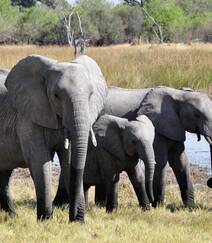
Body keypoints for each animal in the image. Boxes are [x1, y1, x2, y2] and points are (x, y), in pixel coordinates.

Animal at [1, 53, 107, 222]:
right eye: (56, 96)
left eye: (91, 95)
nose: (75, 218)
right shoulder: (28, 116)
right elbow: (40, 162)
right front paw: (45, 221)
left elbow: (68, 159)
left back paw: (12, 216)